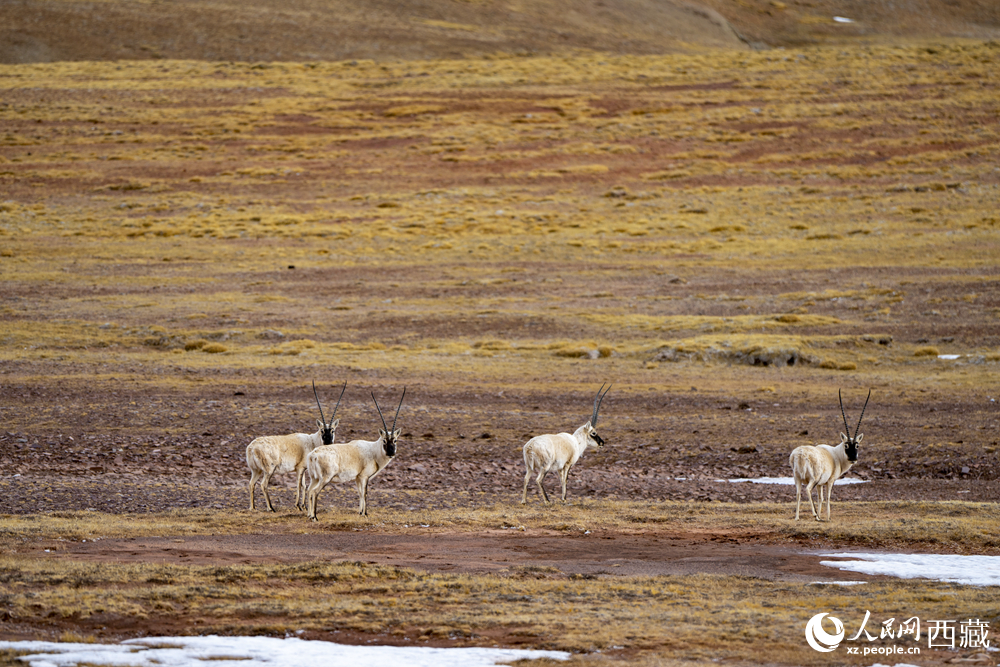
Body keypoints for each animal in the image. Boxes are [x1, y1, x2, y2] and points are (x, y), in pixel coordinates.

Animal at [246, 380, 348, 512]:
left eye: (333, 430)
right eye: (321, 430)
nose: (328, 442)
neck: (312, 441)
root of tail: (251, 448)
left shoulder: (304, 469)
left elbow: (304, 486)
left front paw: (304, 506)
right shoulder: (299, 469)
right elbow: (299, 485)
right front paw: (298, 506)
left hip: (256, 470)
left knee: (251, 484)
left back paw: (253, 507)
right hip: (269, 470)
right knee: (263, 484)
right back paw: (270, 508)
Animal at [302, 386, 404, 520]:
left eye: (395, 440)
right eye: (384, 440)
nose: (391, 453)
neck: (373, 450)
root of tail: (313, 455)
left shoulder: (357, 477)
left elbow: (360, 493)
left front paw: (360, 512)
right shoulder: (364, 477)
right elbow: (365, 493)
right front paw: (365, 513)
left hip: (314, 478)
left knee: (309, 491)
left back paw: (309, 515)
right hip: (325, 478)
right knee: (314, 492)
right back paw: (314, 517)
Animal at [788, 388, 868, 524]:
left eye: (857, 445)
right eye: (846, 445)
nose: (853, 458)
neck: (836, 455)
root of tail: (799, 454)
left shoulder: (820, 484)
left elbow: (820, 498)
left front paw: (820, 516)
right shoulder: (829, 481)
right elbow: (828, 497)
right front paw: (827, 517)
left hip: (797, 478)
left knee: (798, 494)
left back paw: (798, 517)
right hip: (813, 479)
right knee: (807, 490)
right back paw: (814, 514)